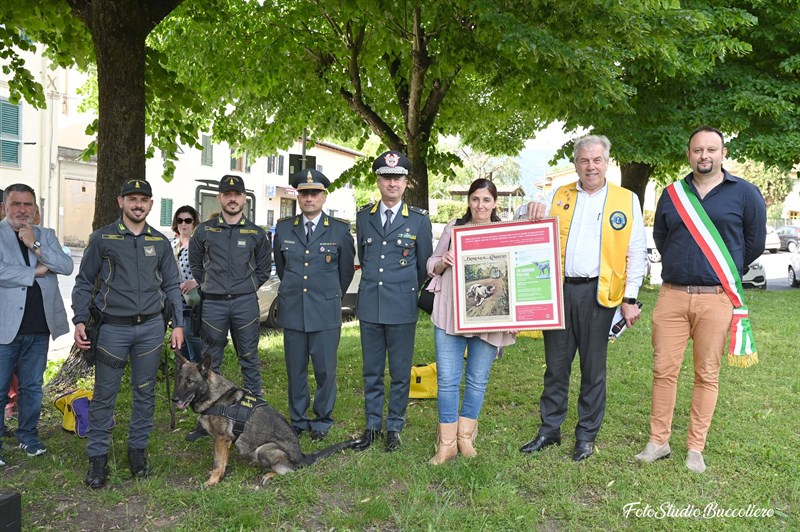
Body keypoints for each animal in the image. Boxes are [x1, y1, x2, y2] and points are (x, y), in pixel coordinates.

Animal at [173, 354, 354, 486]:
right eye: (179, 379)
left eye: (190, 381)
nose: (174, 399)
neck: (215, 397)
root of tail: (303, 457)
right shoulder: (224, 442)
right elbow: (222, 461)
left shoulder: (221, 439)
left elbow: (217, 463)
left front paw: (213, 481)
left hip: (265, 449)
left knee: (290, 471)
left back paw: (269, 474)